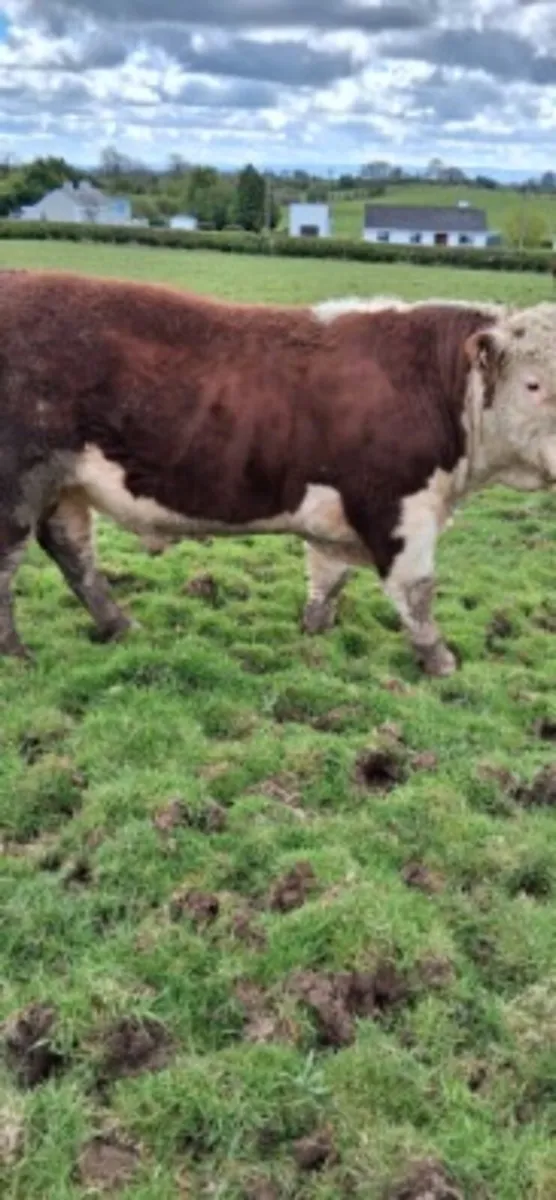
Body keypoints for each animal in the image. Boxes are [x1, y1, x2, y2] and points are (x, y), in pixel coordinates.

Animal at [2, 269, 556, 676]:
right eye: (533, 384)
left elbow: (328, 578)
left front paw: (315, 635)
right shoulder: (398, 507)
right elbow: (415, 591)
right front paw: (441, 662)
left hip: (65, 485)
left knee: (73, 553)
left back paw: (121, 627)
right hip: (18, 483)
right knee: (11, 564)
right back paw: (18, 655)